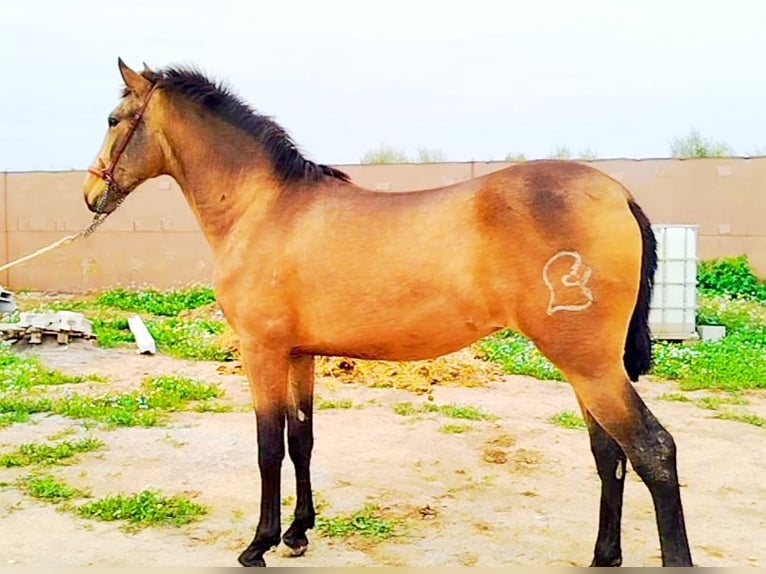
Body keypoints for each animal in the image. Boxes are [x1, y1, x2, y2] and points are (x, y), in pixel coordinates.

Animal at [82, 58, 693, 567]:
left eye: (113, 119)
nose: (90, 194)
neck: (264, 207)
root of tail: (616, 194)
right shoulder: (299, 354)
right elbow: (301, 440)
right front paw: (298, 533)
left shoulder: (262, 352)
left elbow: (267, 447)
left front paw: (259, 544)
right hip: (587, 367)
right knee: (609, 454)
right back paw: (603, 556)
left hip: (589, 365)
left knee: (652, 451)